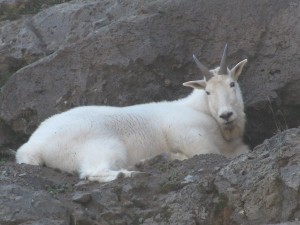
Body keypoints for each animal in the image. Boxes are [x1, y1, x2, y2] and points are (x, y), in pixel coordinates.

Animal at [17, 44, 250, 182]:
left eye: (232, 84)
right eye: (208, 91)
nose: (226, 115)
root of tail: (34, 147)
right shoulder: (189, 135)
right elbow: (206, 153)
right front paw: (171, 156)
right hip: (103, 146)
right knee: (93, 172)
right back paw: (133, 170)